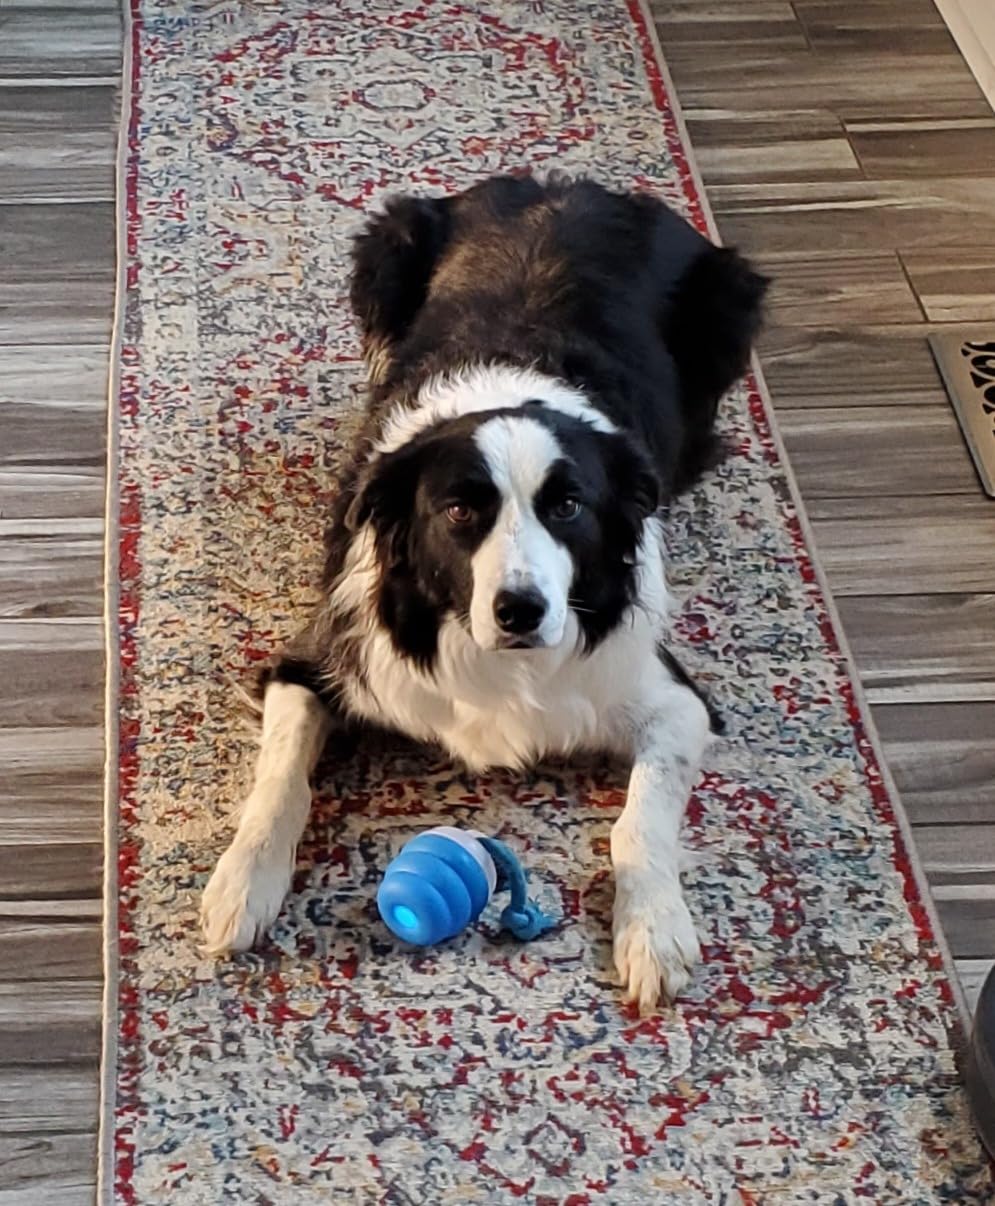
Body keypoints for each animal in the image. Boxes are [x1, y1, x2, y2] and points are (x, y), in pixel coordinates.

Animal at [200, 173, 766, 1012]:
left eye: (567, 506)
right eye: (461, 510)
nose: (520, 611)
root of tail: (568, 183)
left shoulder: (671, 698)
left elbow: (639, 821)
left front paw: (653, 930)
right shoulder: (315, 661)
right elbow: (278, 784)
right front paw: (242, 886)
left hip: (731, 296)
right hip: (387, 245)